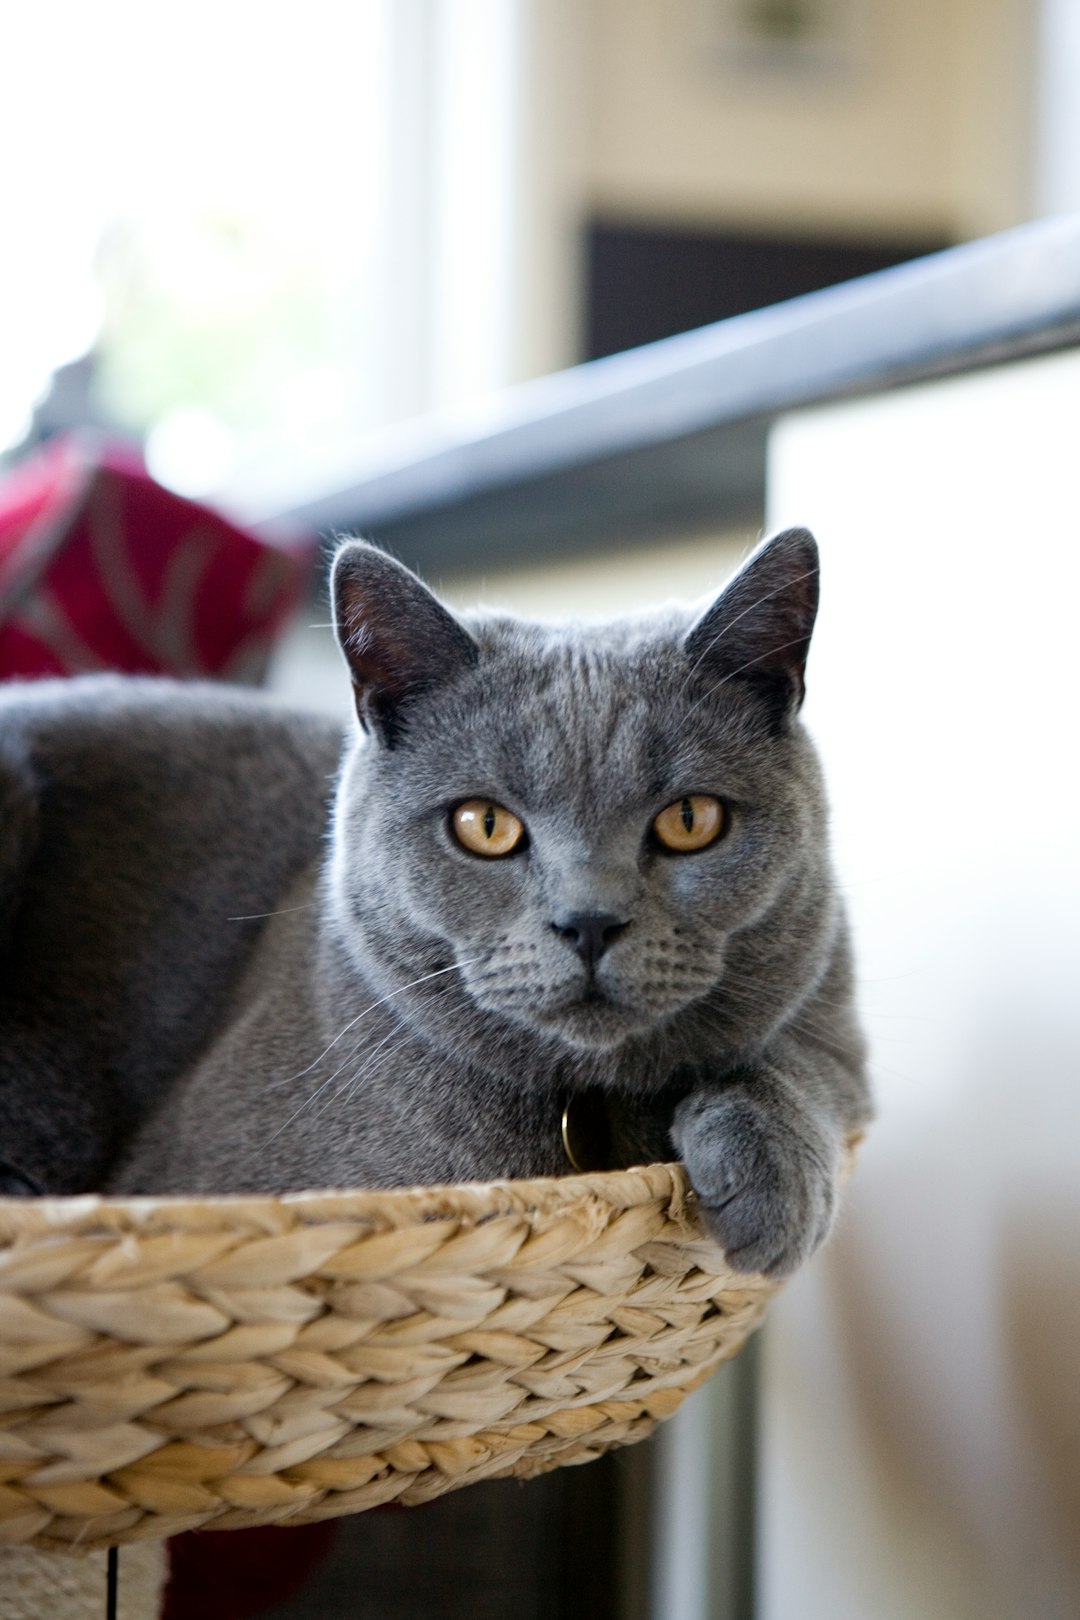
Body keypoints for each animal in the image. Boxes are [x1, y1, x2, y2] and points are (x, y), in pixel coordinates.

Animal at [0, 531, 867, 1276]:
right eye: (484, 824)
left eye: (690, 820)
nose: (589, 922)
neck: (582, 1120)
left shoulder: (835, 1012)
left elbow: (812, 1062)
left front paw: (775, 1181)